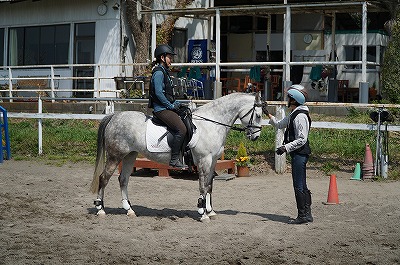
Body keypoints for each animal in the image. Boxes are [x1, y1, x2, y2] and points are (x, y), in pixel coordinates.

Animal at [91, 92, 266, 220]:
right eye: (258, 115)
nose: (256, 137)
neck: (211, 123)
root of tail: (114, 116)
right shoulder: (204, 160)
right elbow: (203, 185)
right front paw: (202, 213)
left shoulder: (213, 161)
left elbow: (209, 185)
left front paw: (210, 211)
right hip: (115, 156)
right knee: (103, 178)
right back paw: (100, 209)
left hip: (130, 155)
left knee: (123, 180)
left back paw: (129, 210)